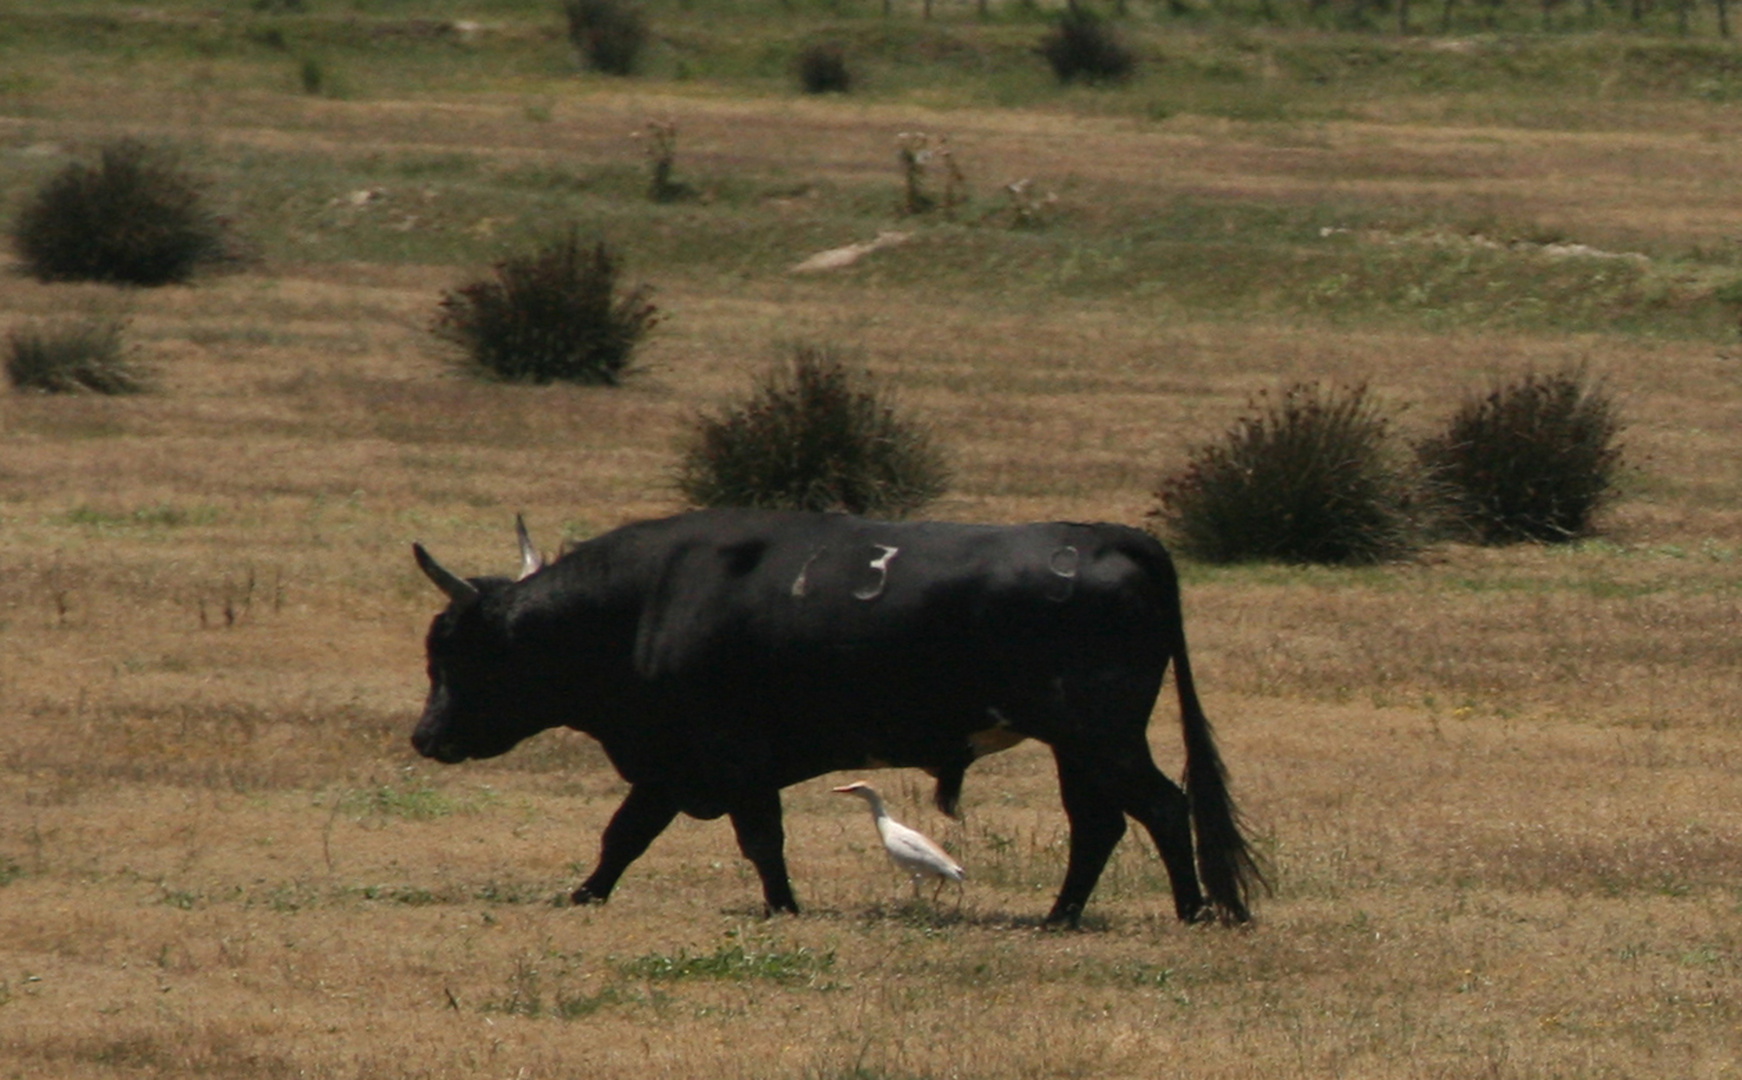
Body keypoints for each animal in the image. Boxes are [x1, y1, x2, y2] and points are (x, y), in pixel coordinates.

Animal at [411, 512, 1268, 926]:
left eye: (453, 649)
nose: (425, 736)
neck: (647, 605)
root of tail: (1110, 538)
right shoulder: (669, 765)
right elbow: (624, 836)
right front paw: (585, 895)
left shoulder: (729, 755)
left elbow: (760, 839)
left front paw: (783, 907)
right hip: (1075, 746)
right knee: (1100, 825)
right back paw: (1060, 917)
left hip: (1102, 735)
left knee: (1163, 807)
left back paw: (1194, 910)